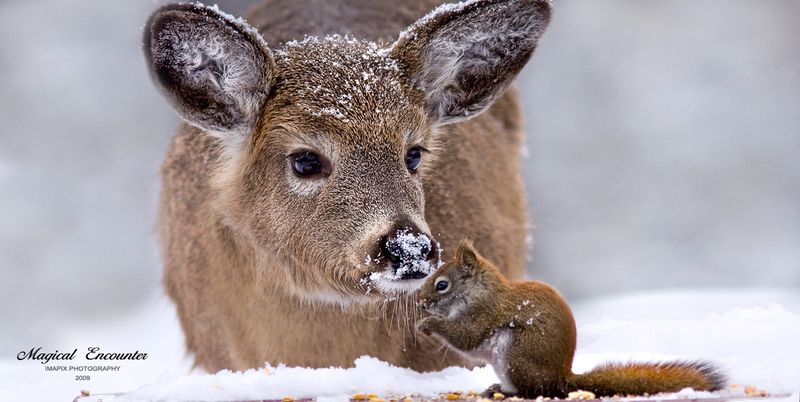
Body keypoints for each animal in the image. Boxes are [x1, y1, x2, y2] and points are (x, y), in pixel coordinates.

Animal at [418, 240, 724, 398]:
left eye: (442, 285)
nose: (420, 302)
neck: (479, 292)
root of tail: (562, 378)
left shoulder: (484, 314)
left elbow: (466, 337)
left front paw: (427, 325)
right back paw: (497, 388)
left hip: (517, 355)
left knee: (534, 391)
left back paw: (510, 393)